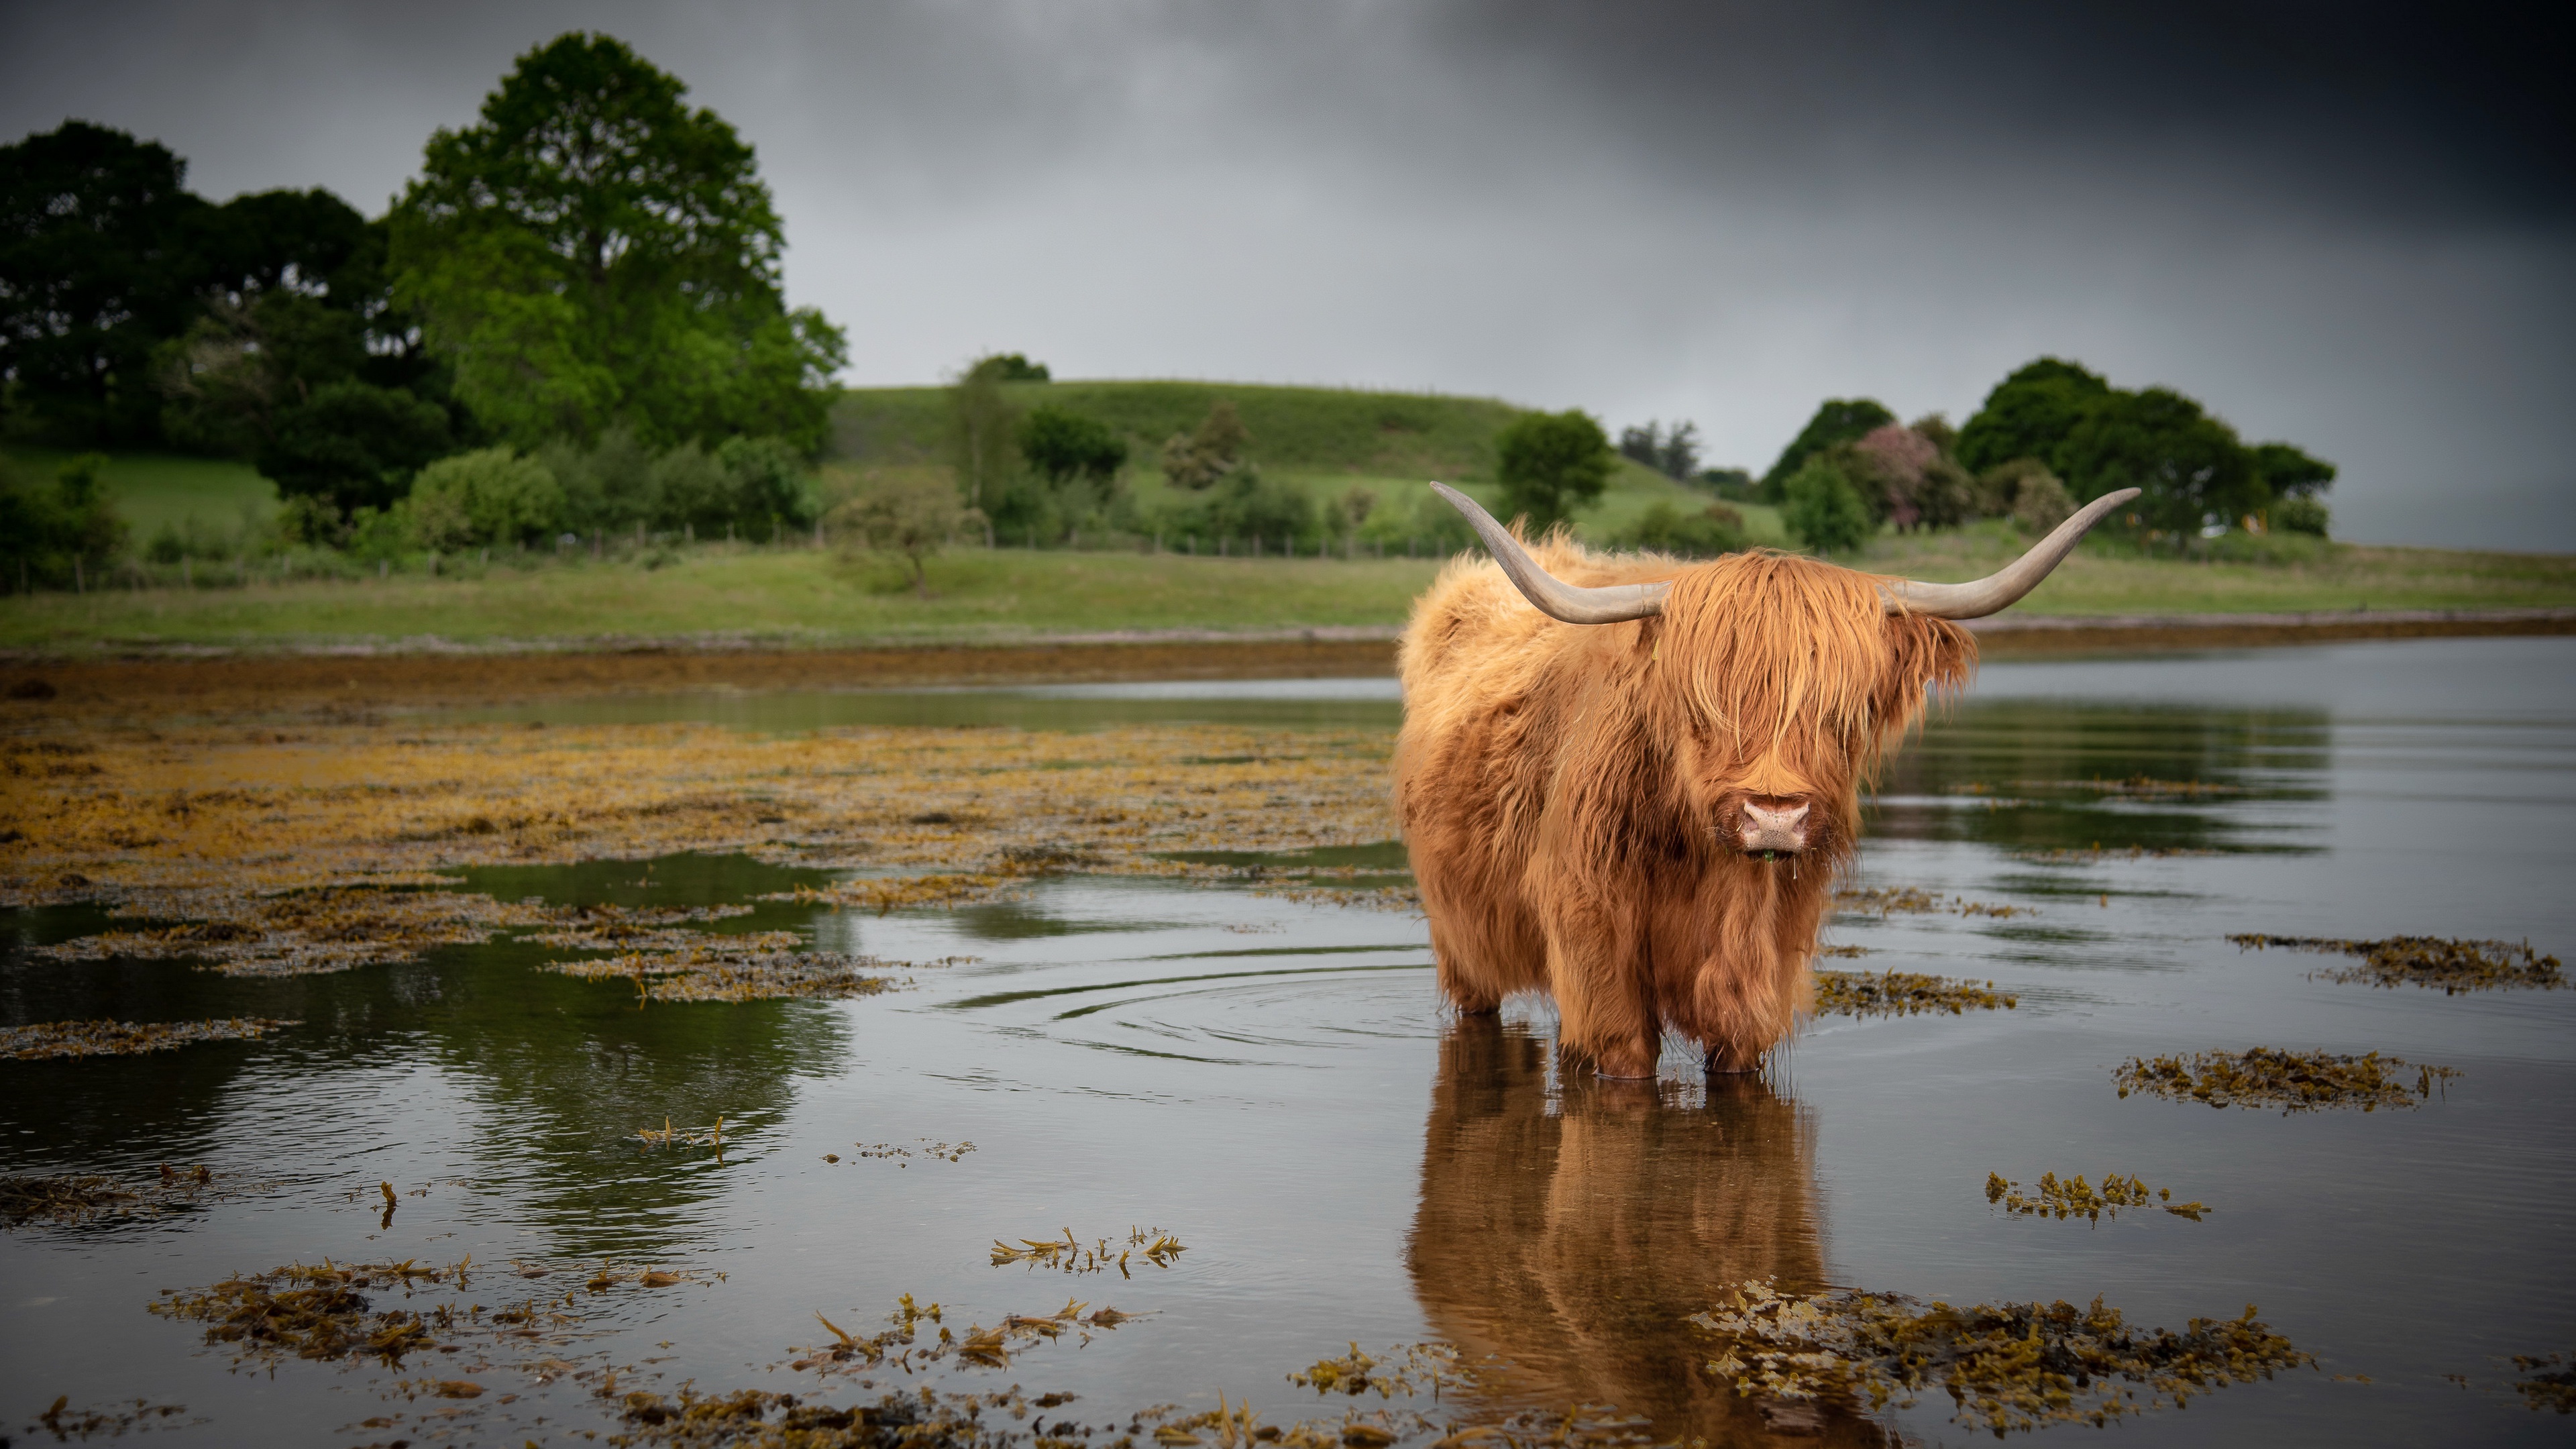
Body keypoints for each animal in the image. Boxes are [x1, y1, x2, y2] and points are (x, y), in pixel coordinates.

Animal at [1395, 481, 2138, 1078]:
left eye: (1843, 712)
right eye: (1703, 708)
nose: (1774, 816)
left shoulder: (1764, 978)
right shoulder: (1597, 962)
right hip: (1462, 944)